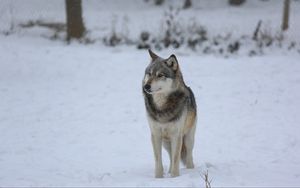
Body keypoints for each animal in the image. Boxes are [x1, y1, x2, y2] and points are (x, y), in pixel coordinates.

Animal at [142, 48, 197, 178]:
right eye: (149, 73)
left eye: (160, 75)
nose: (146, 86)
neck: (162, 107)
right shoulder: (156, 135)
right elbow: (158, 160)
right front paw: (158, 178)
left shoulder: (176, 135)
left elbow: (177, 159)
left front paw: (175, 177)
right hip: (166, 143)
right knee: (171, 157)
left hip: (188, 138)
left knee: (188, 156)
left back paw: (190, 170)